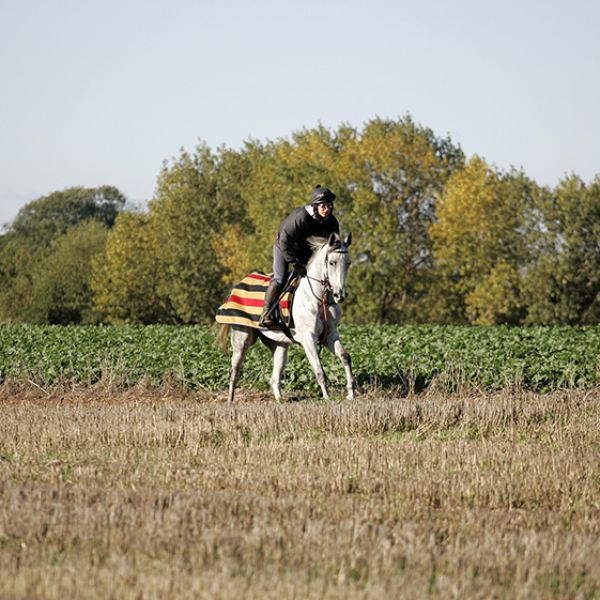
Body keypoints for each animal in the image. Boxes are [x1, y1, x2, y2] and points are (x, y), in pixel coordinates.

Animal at [218, 231, 354, 404]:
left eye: (348, 263)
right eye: (331, 262)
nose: (340, 295)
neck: (318, 298)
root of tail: (238, 286)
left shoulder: (330, 335)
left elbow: (345, 357)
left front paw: (351, 393)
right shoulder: (308, 338)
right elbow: (319, 370)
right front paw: (327, 398)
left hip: (279, 344)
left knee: (275, 378)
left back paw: (280, 400)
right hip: (242, 340)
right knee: (234, 371)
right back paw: (230, 401)